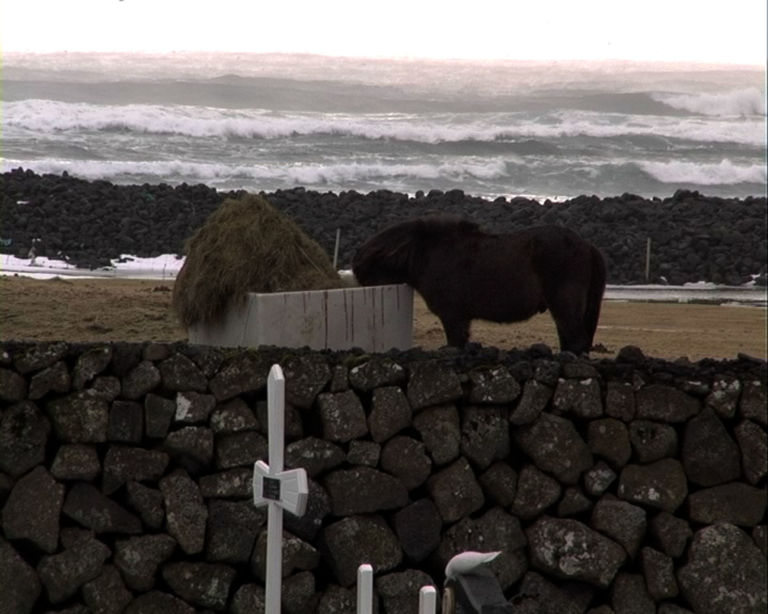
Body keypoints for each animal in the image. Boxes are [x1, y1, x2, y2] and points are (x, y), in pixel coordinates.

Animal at [352, 217, 608, 354]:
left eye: (370, 277)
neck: (429, 254)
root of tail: (586, 245)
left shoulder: (453, 317)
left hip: (564, 306)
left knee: (576, 341)